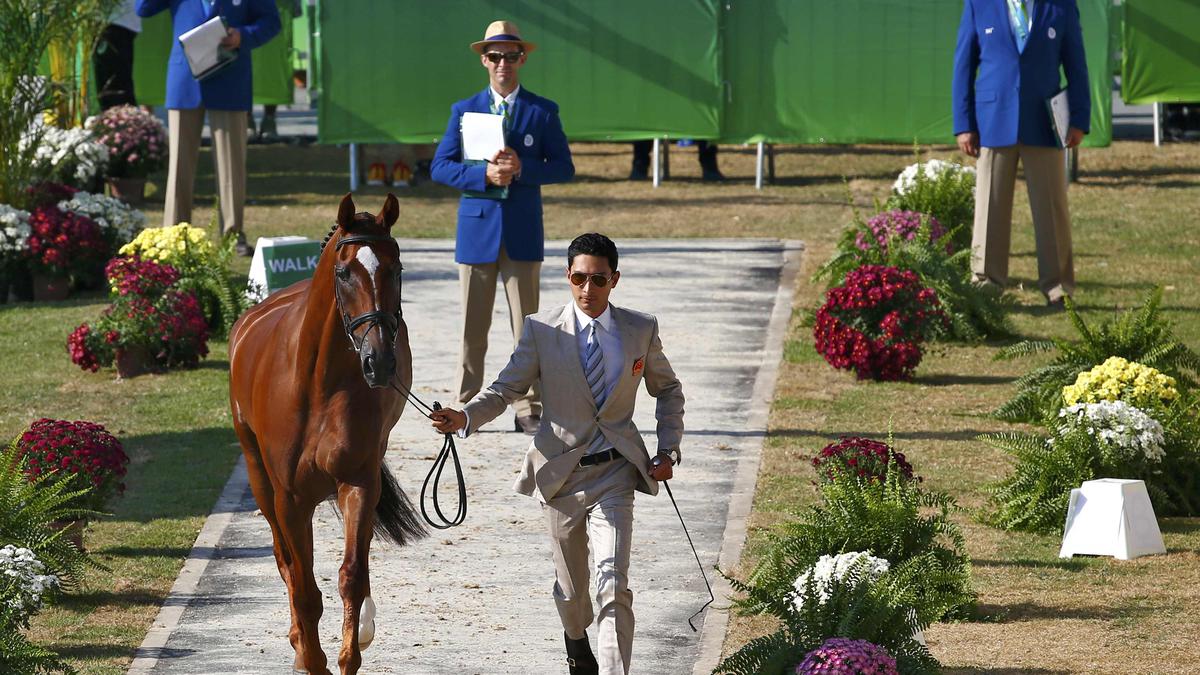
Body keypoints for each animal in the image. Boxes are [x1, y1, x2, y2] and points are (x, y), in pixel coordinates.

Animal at [228, 192, 427, 667]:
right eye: (344, 272)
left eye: (396, 268)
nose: (380, 361)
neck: (318, 384)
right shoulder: (288, 499)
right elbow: (303, 587)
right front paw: (310, 654)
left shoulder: (358, 482)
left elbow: (350, 575)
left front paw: (349, 651)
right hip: (261, 480)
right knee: (285, 560)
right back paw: (299, 642)